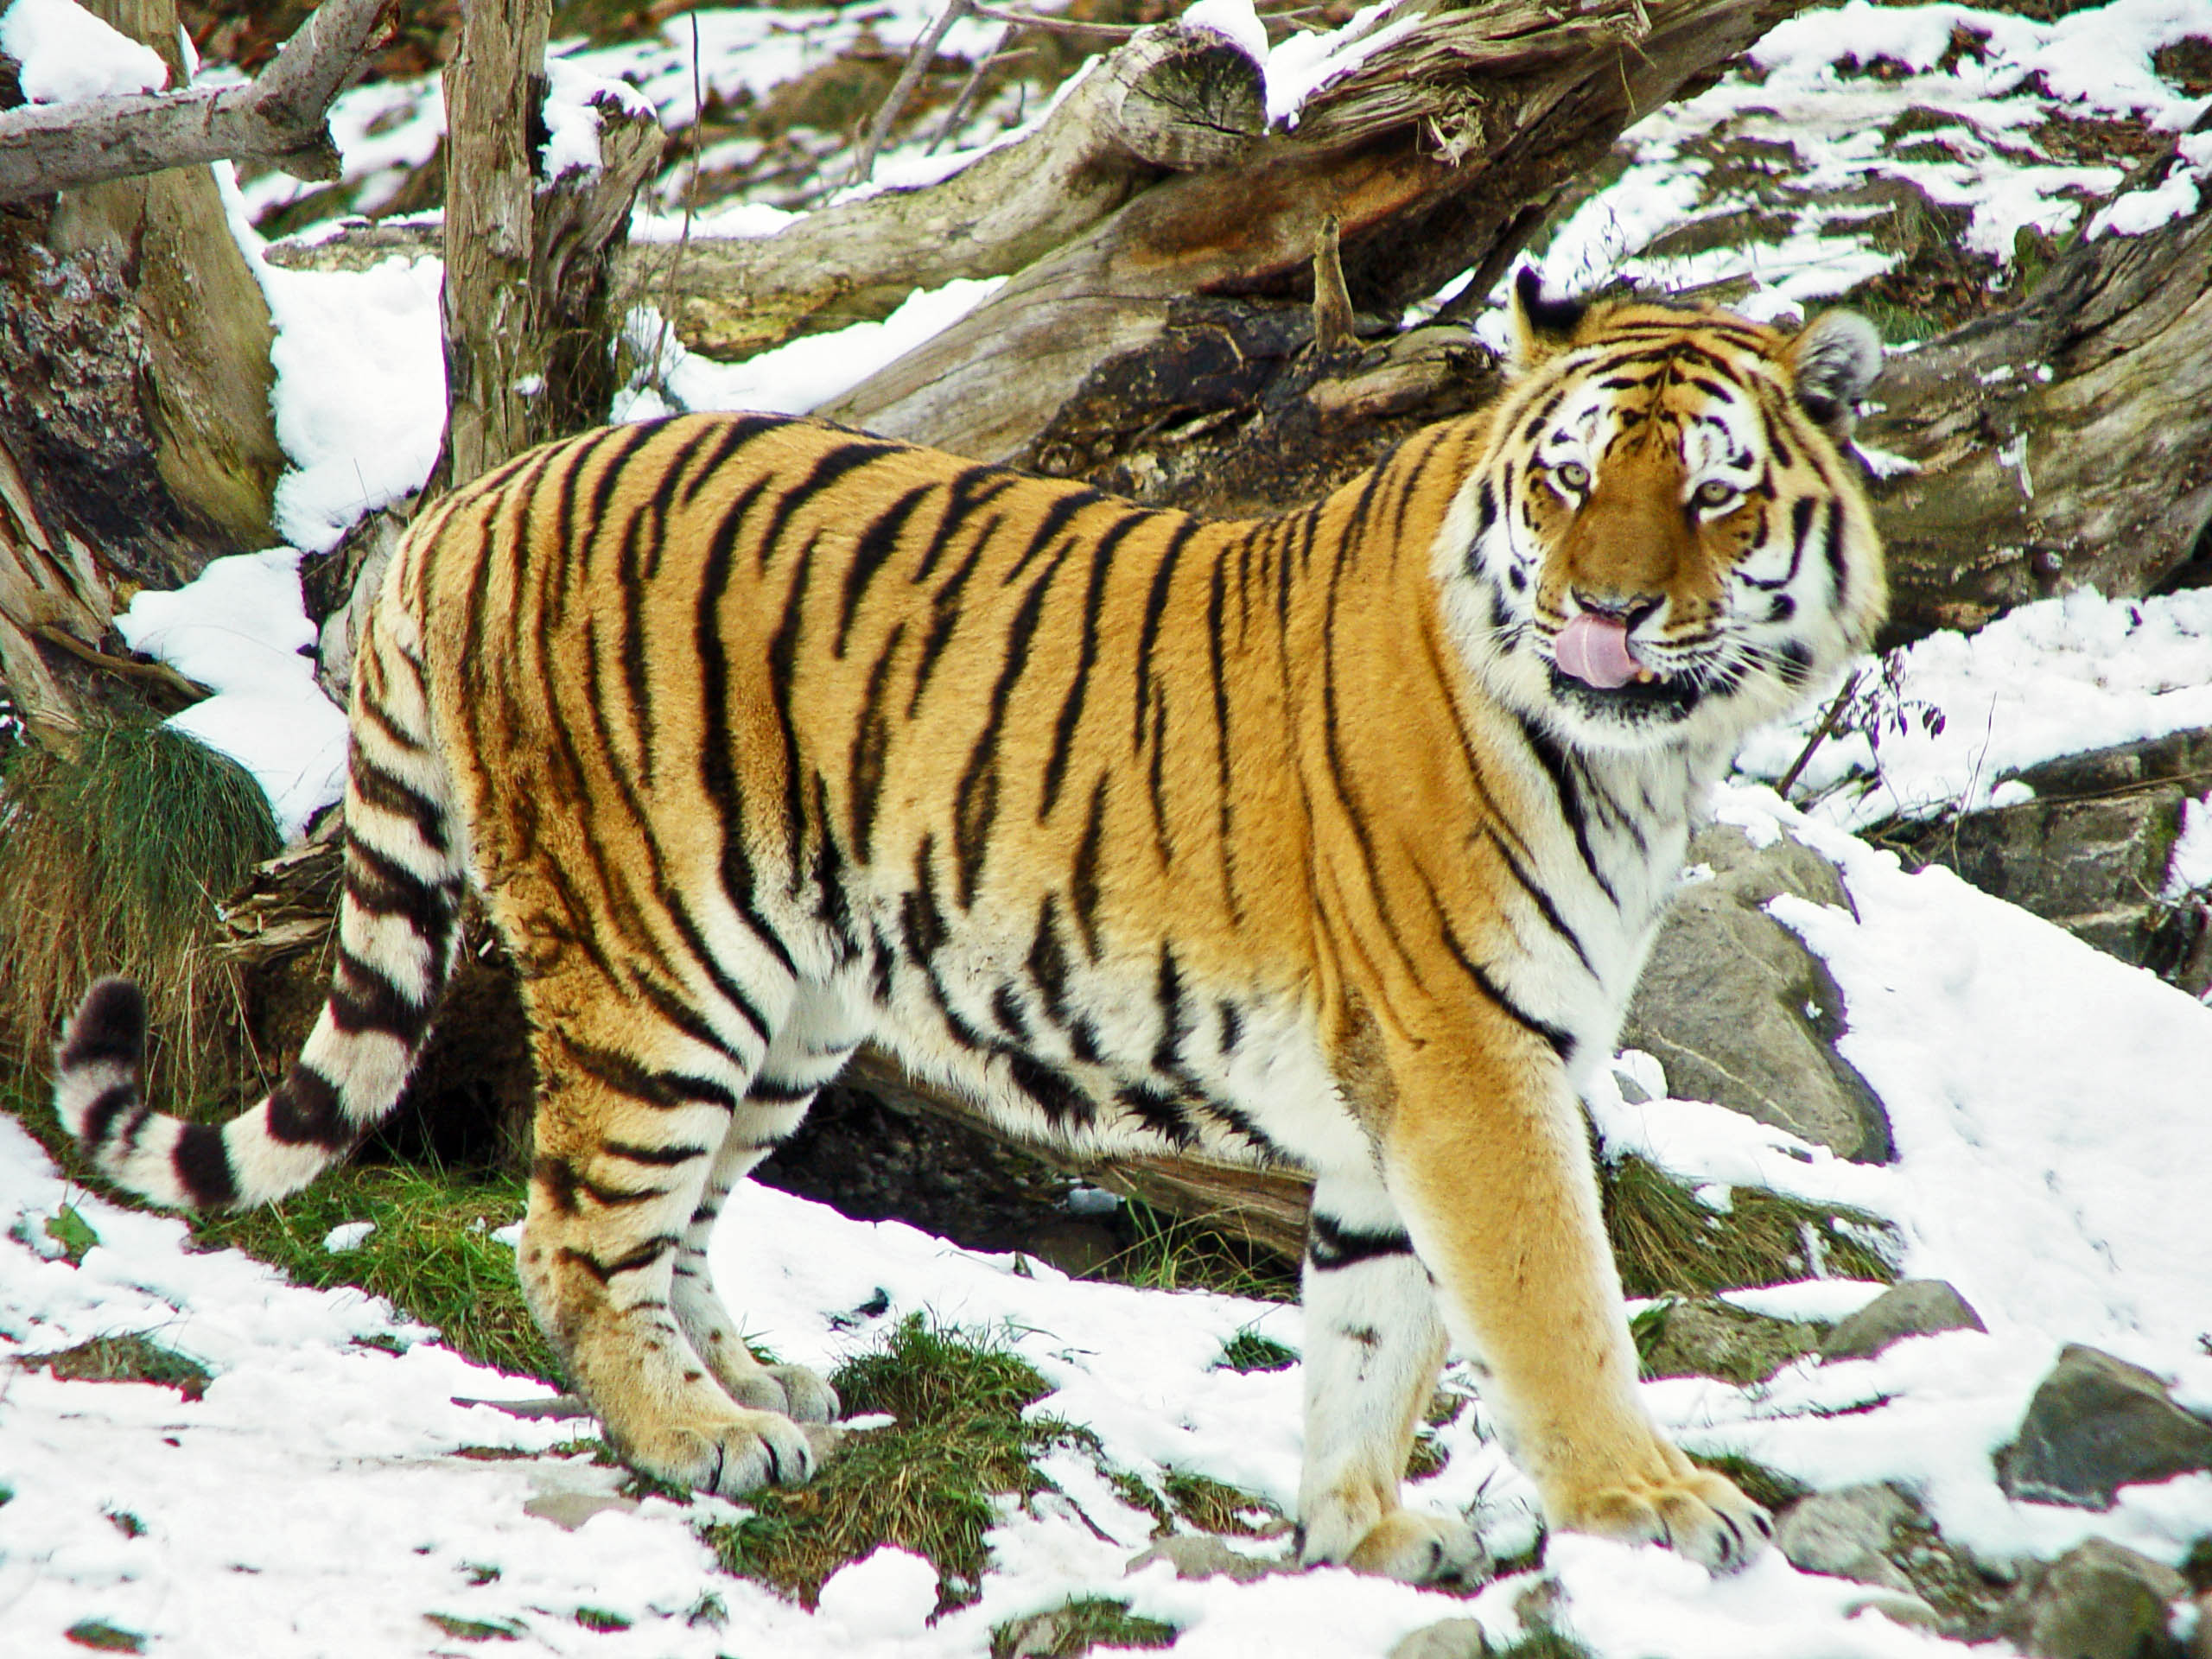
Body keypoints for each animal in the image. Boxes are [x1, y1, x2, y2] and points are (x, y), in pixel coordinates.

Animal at [55, 270, 1884, 1584]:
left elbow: (1380, 1326)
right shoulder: (1472, 1064)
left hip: (794, 1002)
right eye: (1569, 486)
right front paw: (1656, 1507)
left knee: (682, 1219)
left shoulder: (1406, 1094)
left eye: (1714, 499)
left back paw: (756, 1388)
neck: (1639, 763)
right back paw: (694, 1437)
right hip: (664, 966)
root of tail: (475, 498)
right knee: (574, 1231)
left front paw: (1360, 1532)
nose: (1605, 615)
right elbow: (1551, 1306)